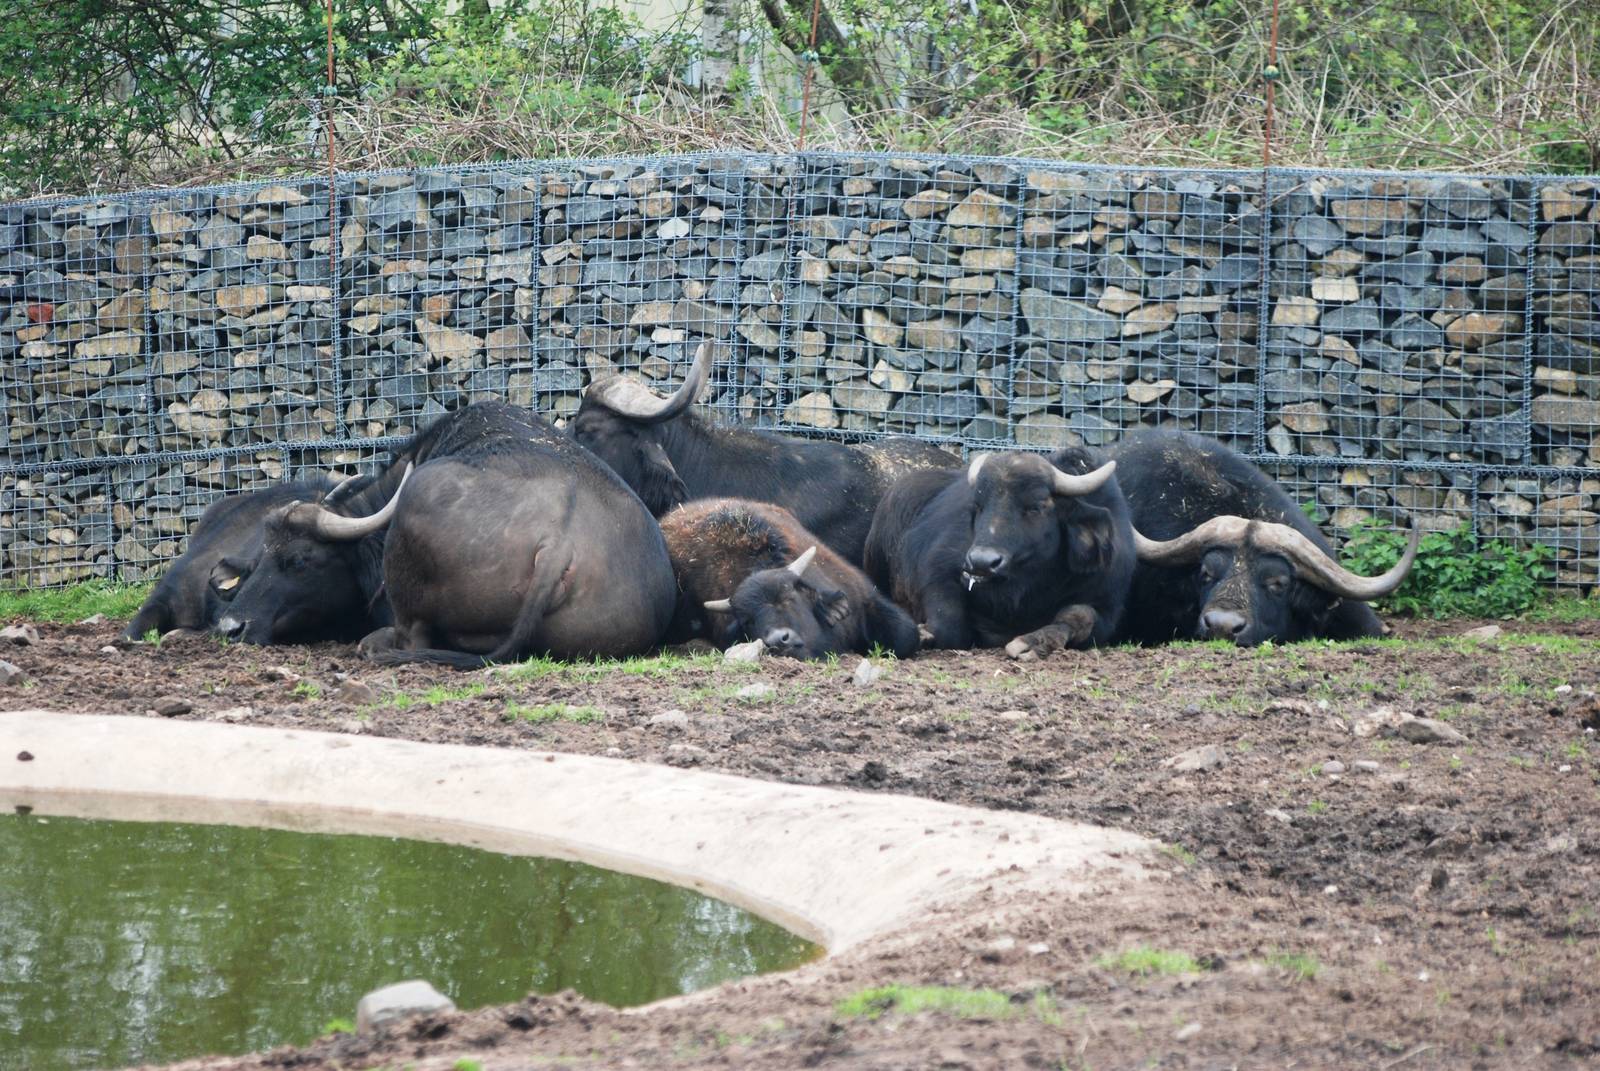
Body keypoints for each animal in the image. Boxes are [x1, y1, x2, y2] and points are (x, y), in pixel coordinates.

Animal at [864, 447, 1136, 657]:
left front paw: (1032, 643)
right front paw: (922, 635)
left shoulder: (1107, 604)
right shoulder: (938, 571)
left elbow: (1081, 614)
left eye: (1036, 506)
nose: (982, 562)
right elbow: (948, 625)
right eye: (978, 506)